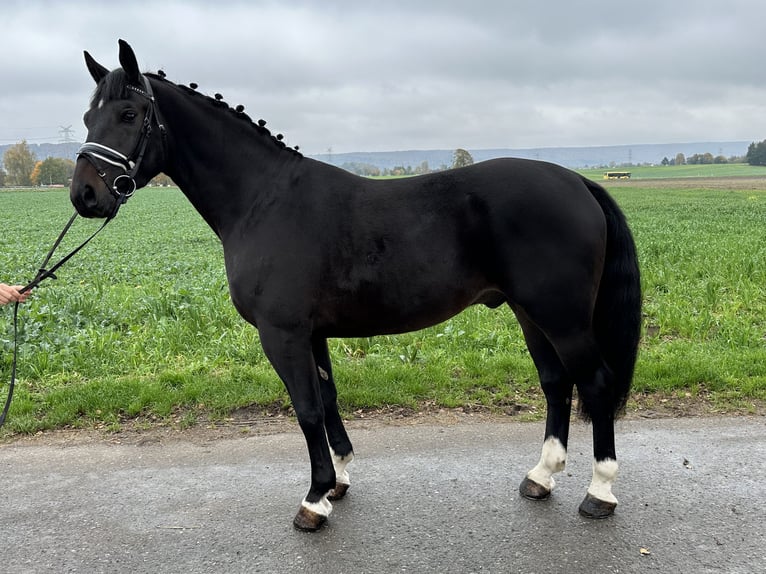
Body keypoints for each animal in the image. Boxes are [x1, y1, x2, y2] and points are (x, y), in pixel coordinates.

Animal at [69, 41, 640, 536]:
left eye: (128, 115)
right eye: (87, 118)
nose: (85, 195)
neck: (264, 200)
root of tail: (577, 181)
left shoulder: (283, 334)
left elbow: (305, 408)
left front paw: (313, 500)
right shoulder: (312, 333)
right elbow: (327, 397)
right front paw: (338, 480)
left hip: (562, 317)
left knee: (595, 382)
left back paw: (600, 492)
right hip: (530, 313)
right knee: (555, 382)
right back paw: (541, 476)